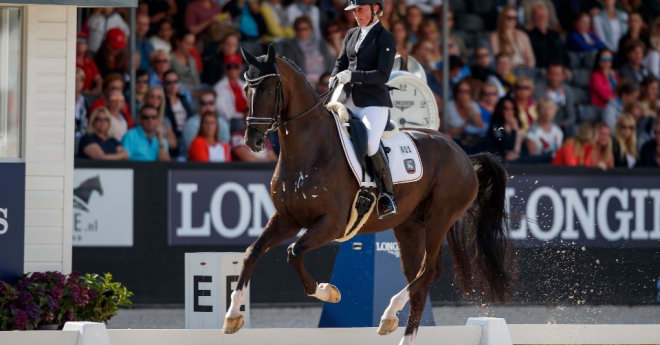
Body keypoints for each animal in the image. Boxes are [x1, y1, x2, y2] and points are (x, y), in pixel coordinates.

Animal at [226, 45, 516, 344]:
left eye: (270, 89)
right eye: (246, 90)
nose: (252, 141)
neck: (308, 150)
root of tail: (464, 155)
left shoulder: (331, 224)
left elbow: (294, 252)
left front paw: (328, 291)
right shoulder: (287, 219)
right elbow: (252, 252)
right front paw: (232, 315)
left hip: (440, 217)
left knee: (430, 270)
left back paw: (389, 313)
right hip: (410, 227)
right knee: (418, 281)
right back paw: (398, 331)